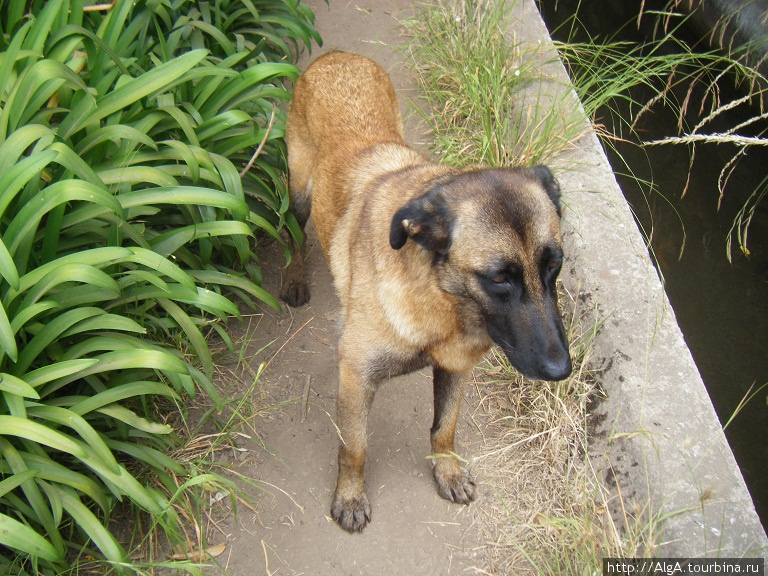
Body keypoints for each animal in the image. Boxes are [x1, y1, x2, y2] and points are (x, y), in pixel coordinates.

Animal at [280, 51, 572, 532]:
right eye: (499, 278)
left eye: (555, 265)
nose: (560, 369)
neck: (442, 301)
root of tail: (336, 55)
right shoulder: (356, 377)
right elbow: (354, 448)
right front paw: (350, 496)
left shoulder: (455, 368)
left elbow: (445, 428)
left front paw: (447, 470)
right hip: (299, 191)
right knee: (292, 232)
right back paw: (294, 276)